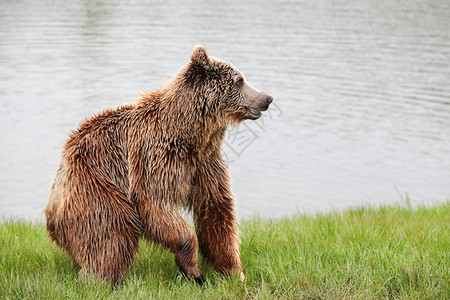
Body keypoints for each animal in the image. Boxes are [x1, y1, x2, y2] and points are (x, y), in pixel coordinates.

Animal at [44, 45, 274, 284]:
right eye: (239, 80)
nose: (267, 98)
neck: (190, 134)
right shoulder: (155, 157)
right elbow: (156, 203)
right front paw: (194, 271)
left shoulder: (204, 163)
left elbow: (216, 210)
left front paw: (234, 272)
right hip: (95, 186)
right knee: (112, 231)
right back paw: (102, 279)